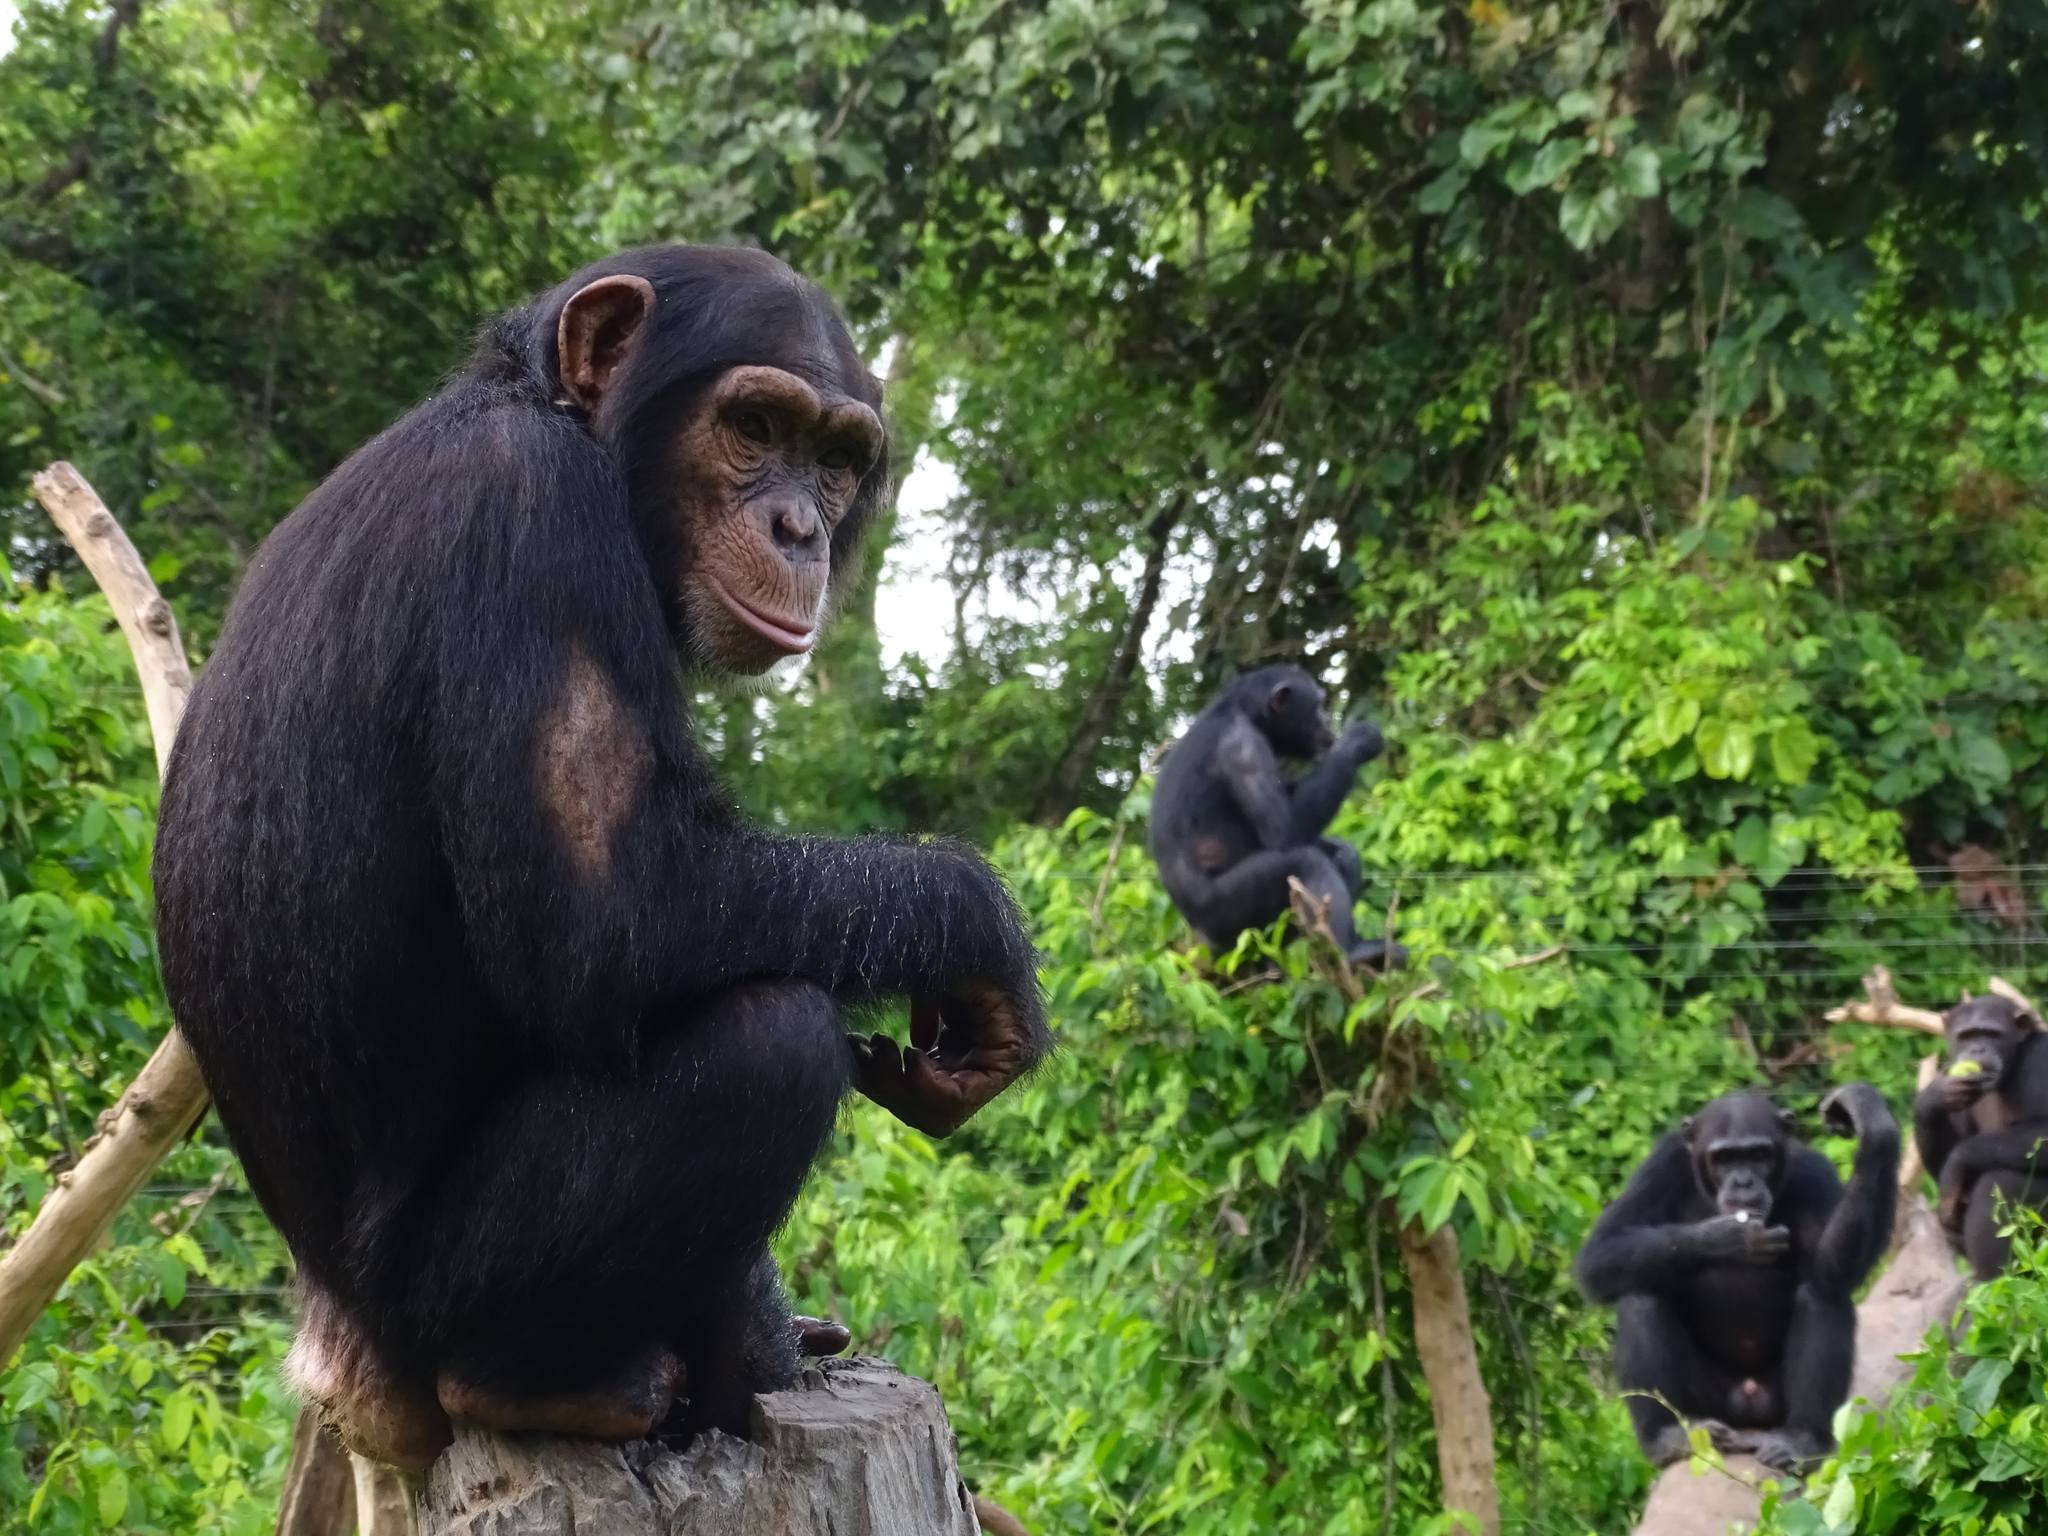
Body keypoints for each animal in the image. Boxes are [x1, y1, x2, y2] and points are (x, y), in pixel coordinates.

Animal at [157, 246, 1048, 1474]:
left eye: (833, 460)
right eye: (754, 426)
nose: (798, 529)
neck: (553, 416)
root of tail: (341, 1362)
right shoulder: (533, 520)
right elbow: (609, 917)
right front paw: (980, 929)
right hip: (439, 1294)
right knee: (767, 1036)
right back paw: (555, 1385)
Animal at [1146, 663, 1400, 974]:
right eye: (1318, 705)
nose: (1327, 719)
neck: (1246, 713)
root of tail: (1204, 940)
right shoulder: (1245, 749)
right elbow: (1284, 830)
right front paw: (1356, 742)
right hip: (1226, 913)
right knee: (1305, 861)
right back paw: (1351, 952)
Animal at [1572, 1089, 1892, 1474]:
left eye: (1758, 1155)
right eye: (1724, 1158)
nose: (1743, 1182)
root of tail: (1748, 1407)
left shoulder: (1813, 1172)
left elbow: (1830, 1267)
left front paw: (1870, 1119)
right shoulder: (1660, 1165)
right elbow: (1601, 1250)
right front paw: (1731, 1237)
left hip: (1774, 1404)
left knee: (1823, 1295)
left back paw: (1802, 1441)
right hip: (1711, 1402)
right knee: (1641, 1295)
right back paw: (1666, 1437)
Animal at [1908, 991, 2048, 1277]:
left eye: (1991, 1034)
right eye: (1967, 1036)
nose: (1977, 1050)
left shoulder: (2041, 1058)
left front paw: (1957, 1163)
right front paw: (1932, 1098)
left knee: (2000, 1182)